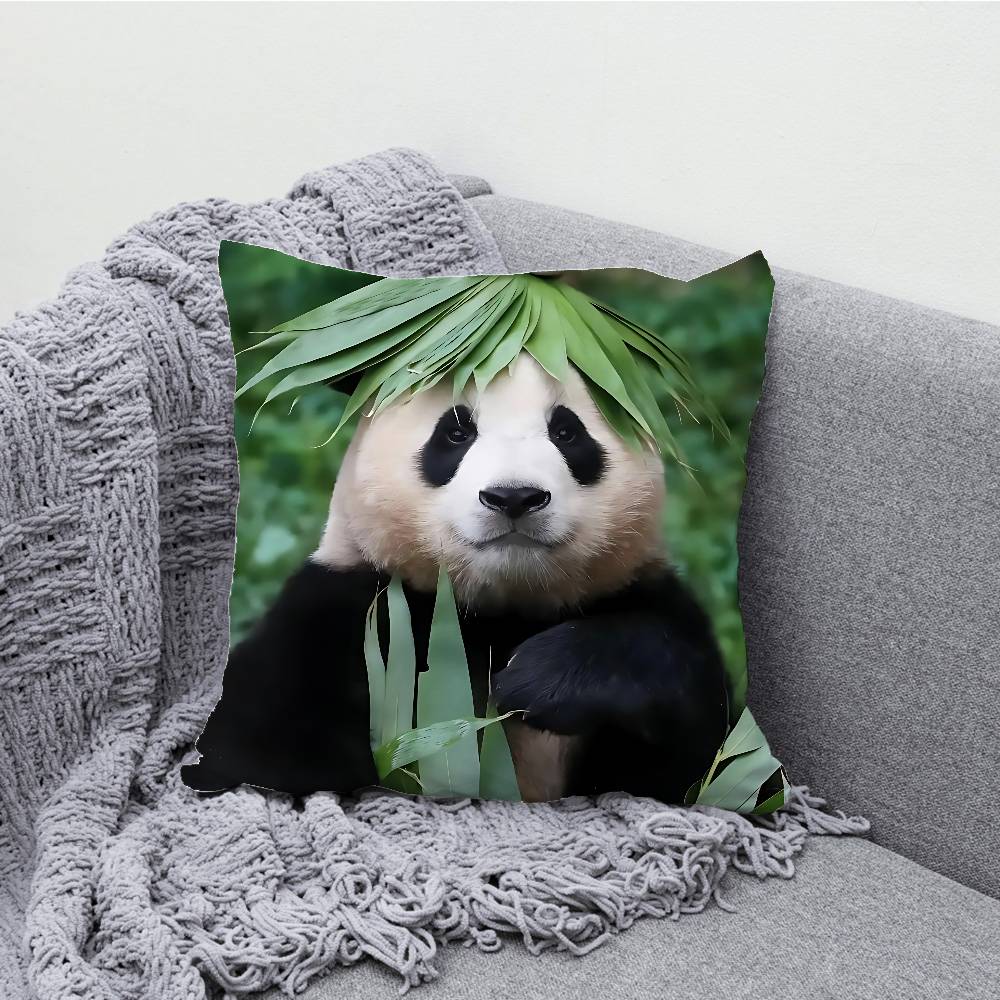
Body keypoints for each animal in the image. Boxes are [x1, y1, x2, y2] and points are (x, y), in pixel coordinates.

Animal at [183, 353, 729, 803]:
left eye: (567, 433)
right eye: (456, 432)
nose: (514, 497)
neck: (499, 609)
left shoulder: (633, 595)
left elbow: (696, 750)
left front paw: (537, 681)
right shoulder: (346, 610)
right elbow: (258, 745)